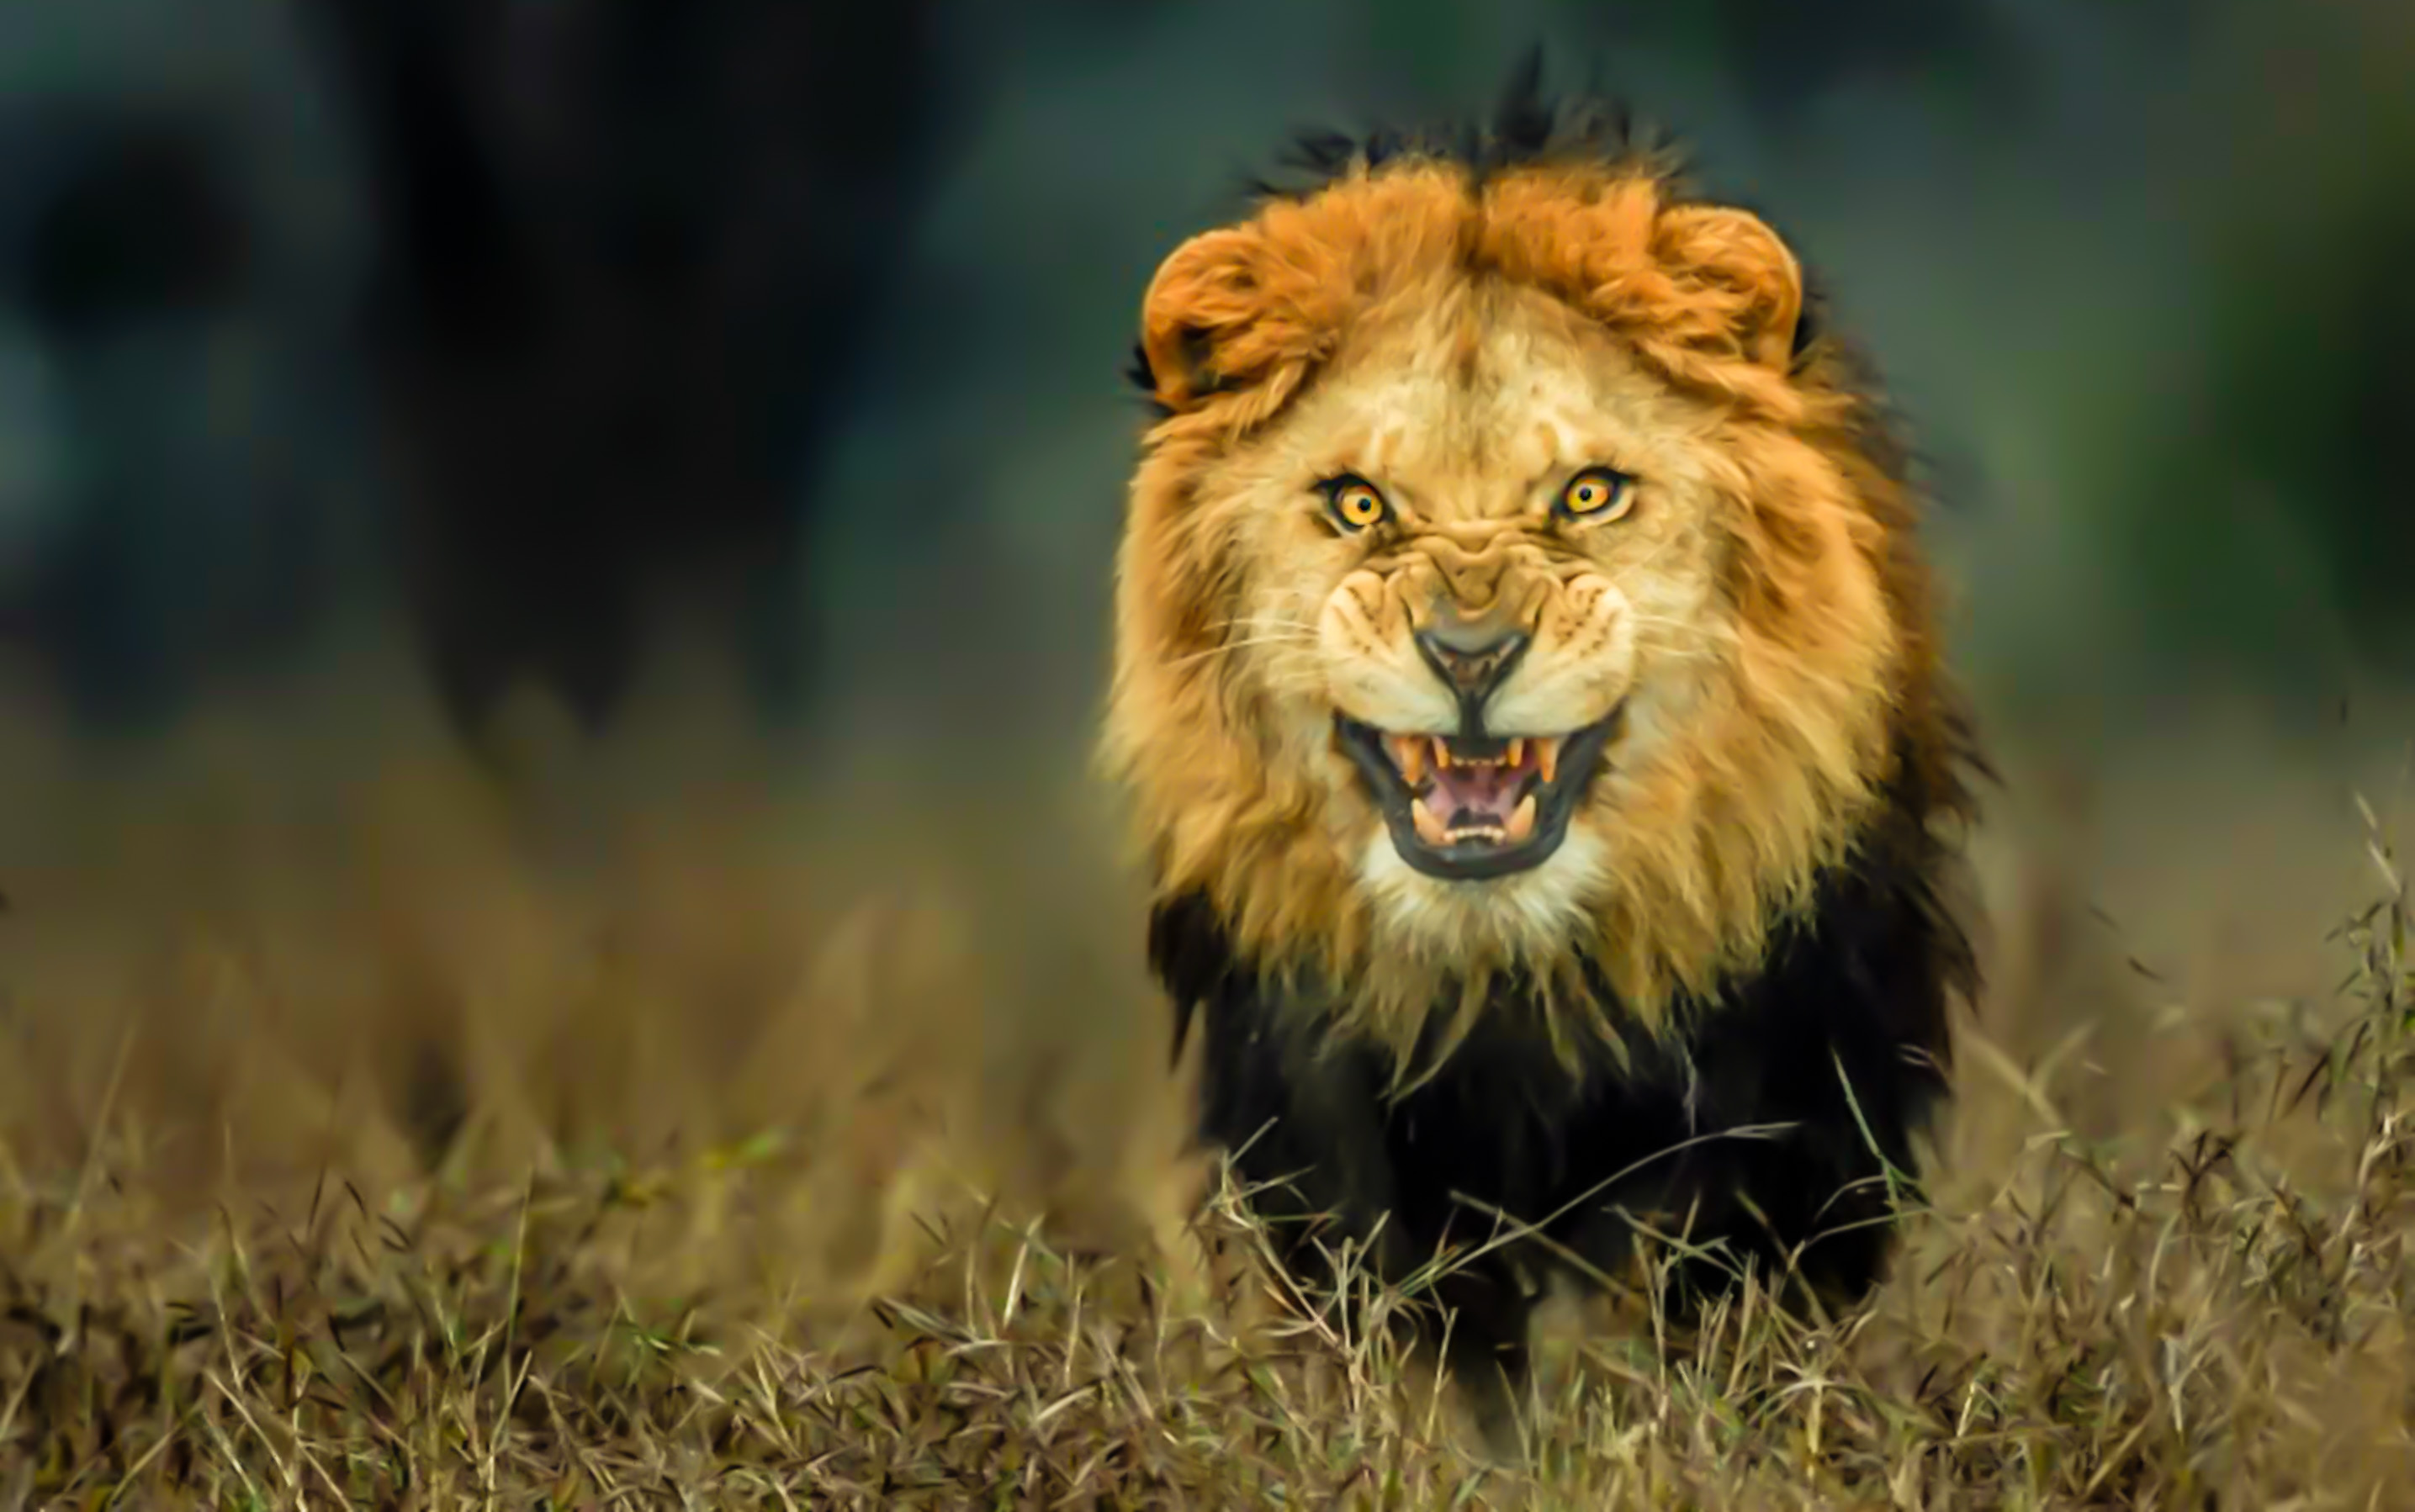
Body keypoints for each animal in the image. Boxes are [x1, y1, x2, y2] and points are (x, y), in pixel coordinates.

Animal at [1101, 67, 1984, 1452]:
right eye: (1359, 503)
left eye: (1585, 494)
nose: (1469, 653)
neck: (1507, 970)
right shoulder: (1323, 1115)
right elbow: (1424, 1346)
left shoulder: (1788, 1091)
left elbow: (1702, 1308)